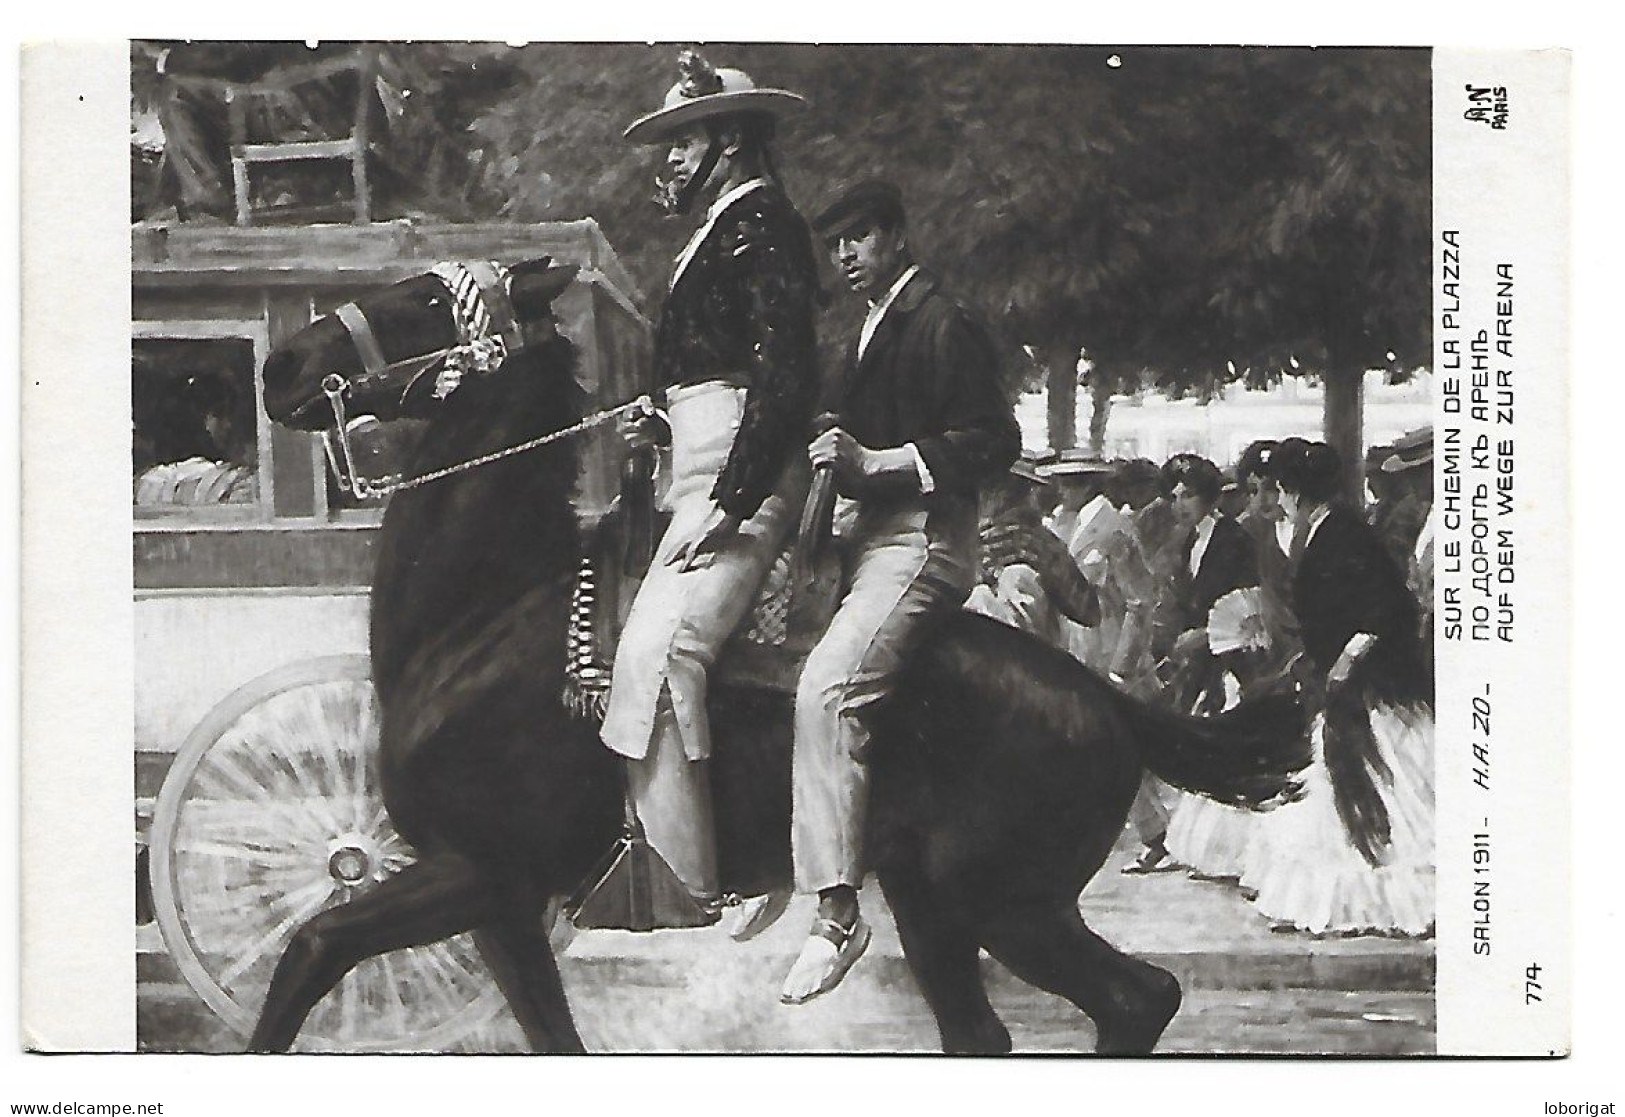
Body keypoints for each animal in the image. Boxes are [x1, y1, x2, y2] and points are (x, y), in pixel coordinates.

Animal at [247, 258, 1306, 1053]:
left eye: (425, 300)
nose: (284, 363)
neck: (491, 613)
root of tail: (1099, 696)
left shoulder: (480, 870)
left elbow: (312, 945)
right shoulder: (500, 907)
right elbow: (549, 1038)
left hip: (1005, 906)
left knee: (1131, 1000)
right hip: (946, 909)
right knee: (1022, 1028)